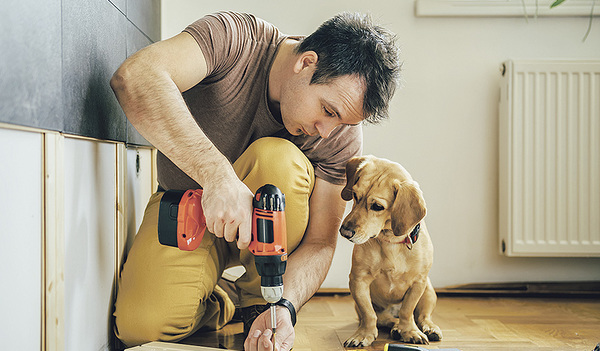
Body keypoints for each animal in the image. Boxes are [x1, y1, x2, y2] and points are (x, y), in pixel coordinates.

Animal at [340, 156, 442, 346]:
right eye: (355, 195)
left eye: (377, 206)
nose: (345, 232)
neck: (391, 242)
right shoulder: (358, 280)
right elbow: (368, 314)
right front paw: (363, 334)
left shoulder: (418, 283)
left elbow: (407, 311)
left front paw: (410, 331)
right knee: (386, 319)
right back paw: (395, 328)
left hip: (429, 292)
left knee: (423, 316)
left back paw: (429, 328)